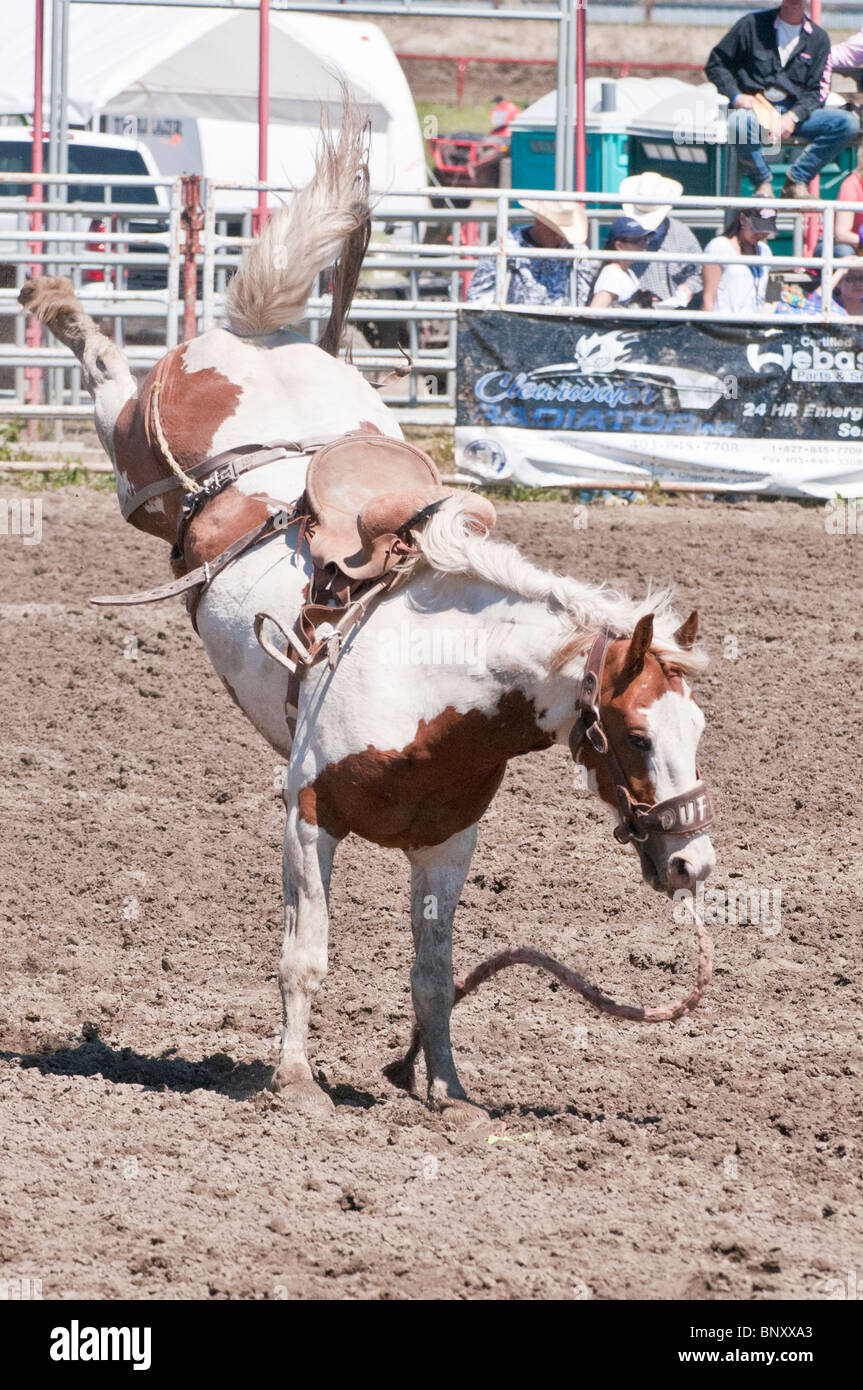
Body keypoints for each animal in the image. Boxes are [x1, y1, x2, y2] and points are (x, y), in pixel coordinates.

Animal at [20, 113, 716, 1118]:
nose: (694, 865)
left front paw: (449, 1094)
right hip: (134, 468)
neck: (437, 688)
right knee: (110, 374)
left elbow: (433, 975)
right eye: (631, 734)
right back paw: (56, 299)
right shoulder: (308, 814)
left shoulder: (447, 844)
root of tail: (257, 342)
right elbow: (304, 958)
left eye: (697, 733)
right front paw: (295, 1083)